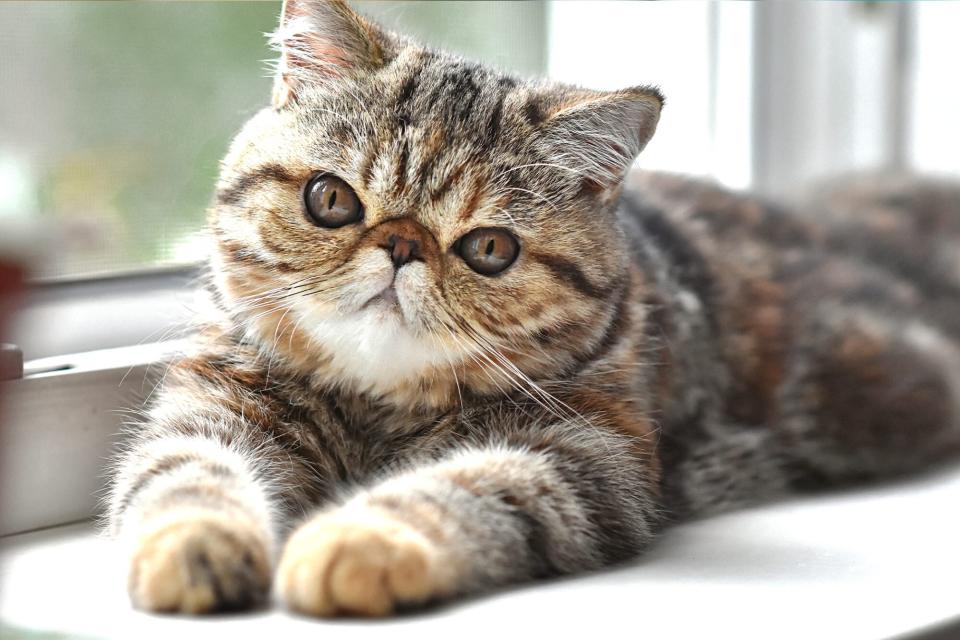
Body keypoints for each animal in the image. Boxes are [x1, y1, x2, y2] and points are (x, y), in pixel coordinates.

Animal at [105, 0, 960, 620]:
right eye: (332, 200)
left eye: (489, 248)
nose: (402, 246)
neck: (375, 408)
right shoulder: (217, 400)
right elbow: (183, 475)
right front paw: (195, 545)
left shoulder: (586, 453)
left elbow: (469, 485)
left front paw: (360, 539)